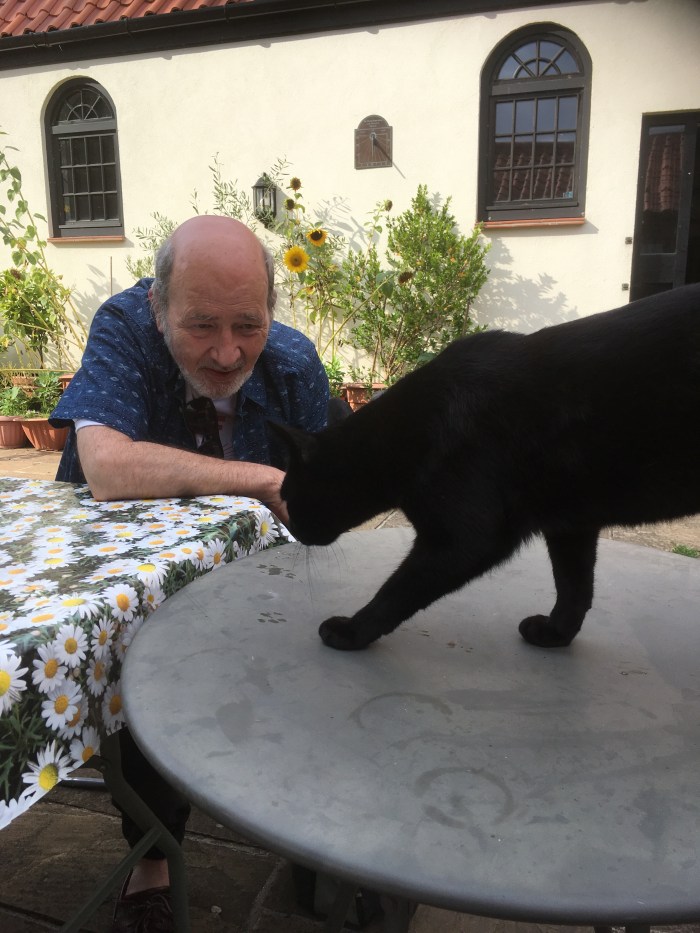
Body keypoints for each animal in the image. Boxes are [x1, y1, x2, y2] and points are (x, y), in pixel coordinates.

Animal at [271, 283, 700, 652]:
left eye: (288, 496)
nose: (292, 525)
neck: (412, 430)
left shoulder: (465, 539)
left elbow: (396, 591)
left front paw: (352, 631)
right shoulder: (570, 522)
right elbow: (574, 585)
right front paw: (556, 632)